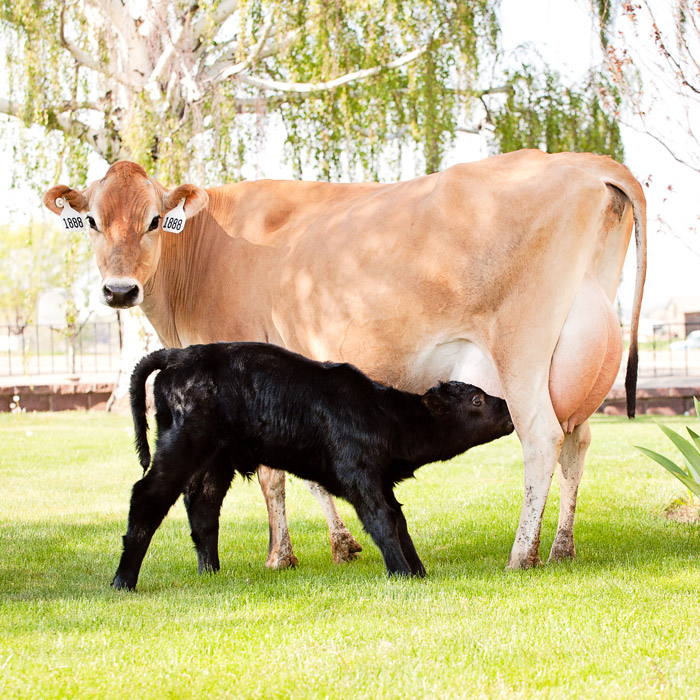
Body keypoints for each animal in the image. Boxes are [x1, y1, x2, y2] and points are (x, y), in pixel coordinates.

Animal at [112, 342, 514, 590]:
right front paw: (400, 572)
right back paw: (123, 580)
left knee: (203, 509)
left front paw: (417, 571)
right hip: (181, 446)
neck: (382, 415)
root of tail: (178, 354)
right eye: (477, 399)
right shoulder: (359, 477)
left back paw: (210, 572)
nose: (511, 409)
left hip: (215, 460)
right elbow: (382, 521)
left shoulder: (381, 481)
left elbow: (399, 522)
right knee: (147, 498)